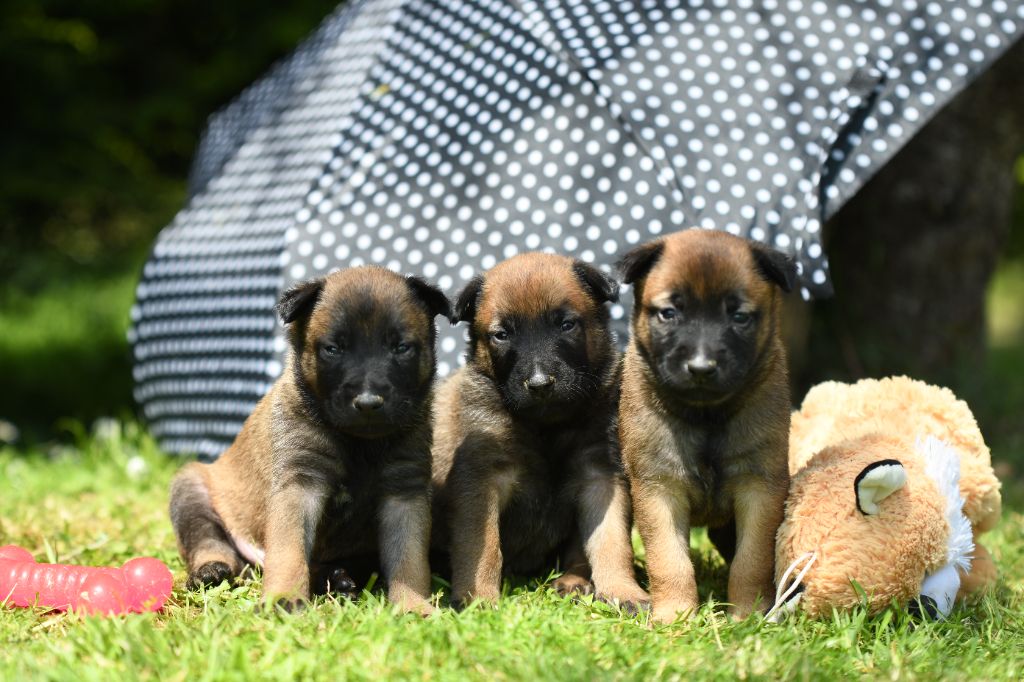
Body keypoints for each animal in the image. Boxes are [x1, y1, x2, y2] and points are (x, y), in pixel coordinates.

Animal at [169, 266, 450, 610]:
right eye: (333, 349)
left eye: (401, 348)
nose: (368, 402)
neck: (359, 443)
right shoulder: (298, 484)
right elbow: (288, 552)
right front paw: (283, 599)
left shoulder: (404, 492)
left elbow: (409, 559)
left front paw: (412, 605)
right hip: (192, 490)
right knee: (207, 538)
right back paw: (211, 570)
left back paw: (337, 580)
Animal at [432, 251, 647, 606]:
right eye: (502, 334)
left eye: (566, 325)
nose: (539, 383)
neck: (545, 428)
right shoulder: (480, 482)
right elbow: (483, 546)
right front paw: (479, 597)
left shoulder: (600, 476)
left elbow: (611, 542)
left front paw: (622, 590)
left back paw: (573, 581)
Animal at [610, 229, 794, 622]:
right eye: (669, 313)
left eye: (739, 316)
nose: (701, 367)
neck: (706, 415)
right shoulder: (659, 488)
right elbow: (670, 559)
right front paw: (674, 617)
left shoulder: (759, 487)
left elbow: (751, 560)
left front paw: (748, 614)